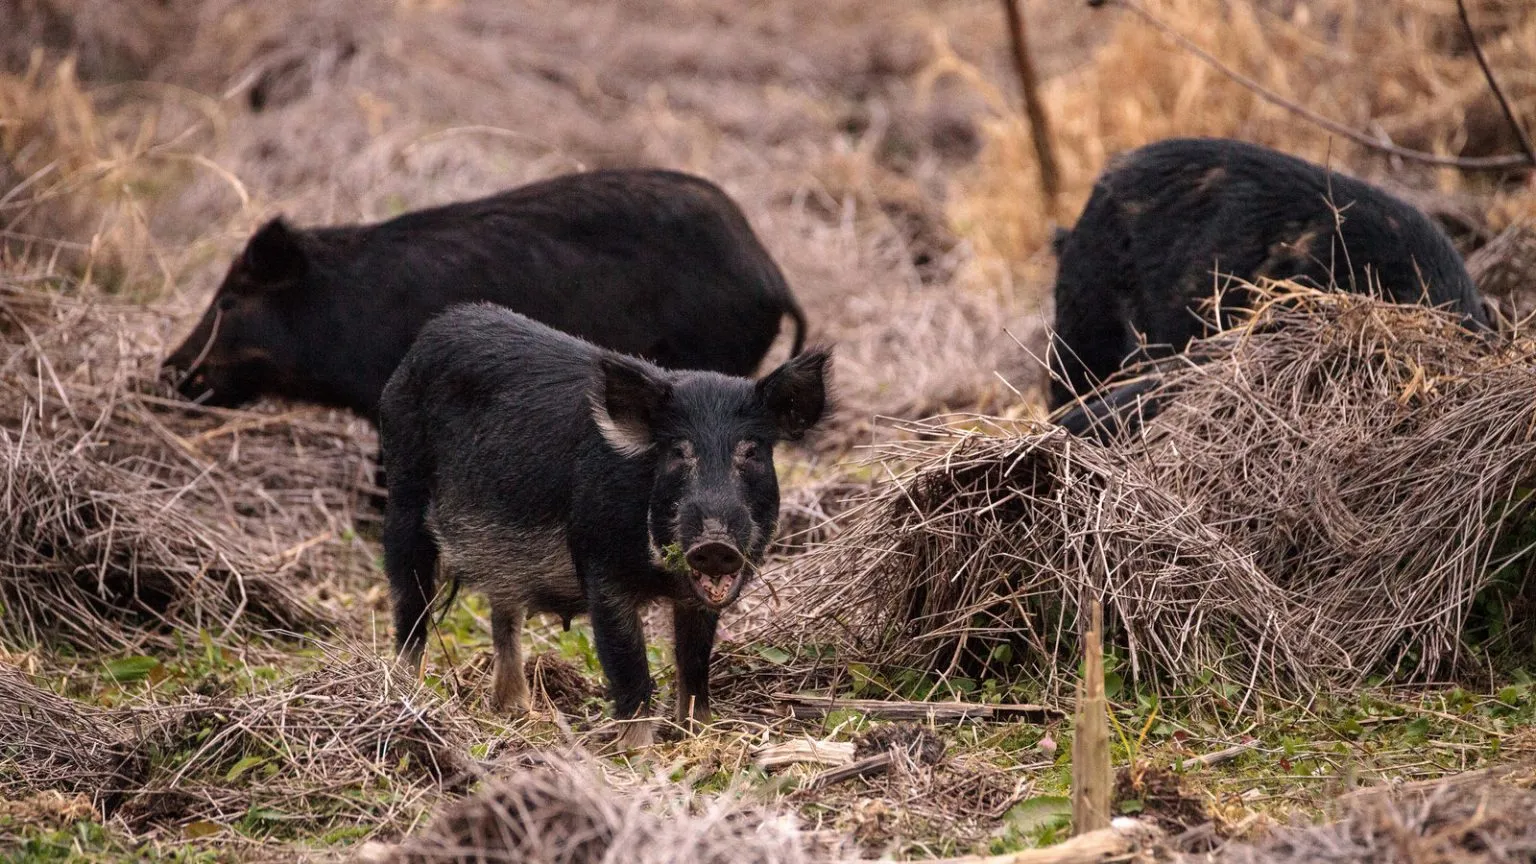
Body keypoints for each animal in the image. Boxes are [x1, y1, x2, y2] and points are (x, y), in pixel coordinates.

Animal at [379, 304, 830, 750]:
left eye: (752, 451)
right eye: (677, 451)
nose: (715, 543)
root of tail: (432, 333)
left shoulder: (696, 599)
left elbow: (695, 662)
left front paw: (697, 733)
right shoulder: (601, 568)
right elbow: (629, 668)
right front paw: (639, 754)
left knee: (503, 609)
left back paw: (516, 710)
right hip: (403, 497)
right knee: (410, 607)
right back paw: (404, 691)